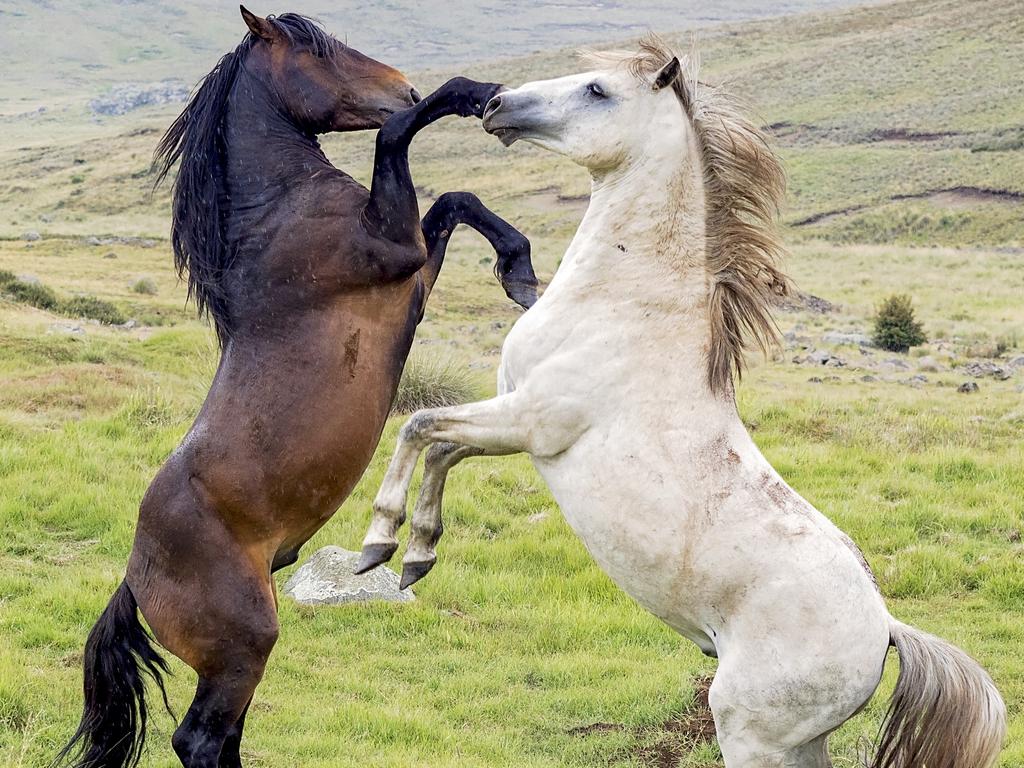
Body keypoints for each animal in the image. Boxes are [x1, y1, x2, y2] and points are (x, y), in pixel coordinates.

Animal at [56, 8, 537, 768]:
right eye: (318, 50)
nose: (403, 89)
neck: (280, 213)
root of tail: (137, 576)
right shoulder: (396, 251)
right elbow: (399, 143)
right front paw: (470, 93)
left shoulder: (412, 268)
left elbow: (455, 199)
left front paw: (520, 270)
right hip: (245, 644)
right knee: (200, 738)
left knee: (223, 738)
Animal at [356, 38, 1007, 768]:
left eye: (598, 90)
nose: (496, 104)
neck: (626, 305)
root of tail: (887, 630)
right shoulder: (511, 419)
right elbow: (441, 447)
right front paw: (419, 554)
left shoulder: (532, 421)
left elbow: (418, 426)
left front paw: (379, 542)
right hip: (799, 744)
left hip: (750, 734)